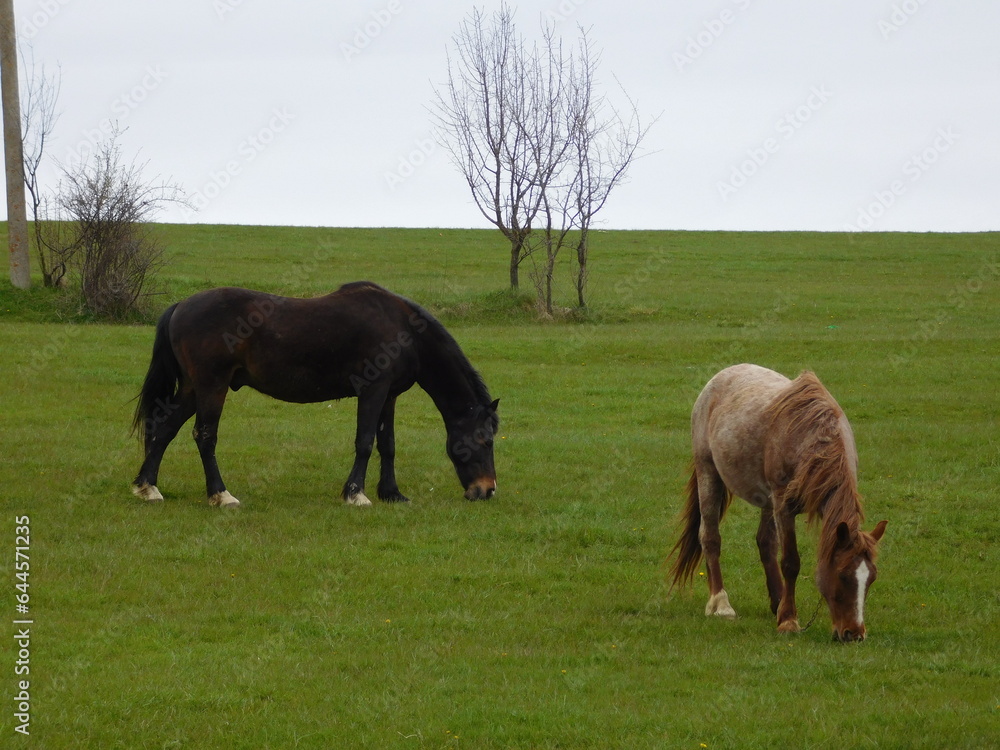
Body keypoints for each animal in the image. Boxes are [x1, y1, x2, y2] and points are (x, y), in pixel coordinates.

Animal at [131, 282, 500, 508]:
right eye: (485, 441)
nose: (487, 490)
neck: (404, 329)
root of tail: (181, 305)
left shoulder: (389, 396)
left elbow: (388, 445)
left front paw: (392, 493)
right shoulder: (373, 390)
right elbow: (365, 442)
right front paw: (356, 494)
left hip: (193, 388)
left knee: (164, 430)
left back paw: (147, 487)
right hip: (212, 386)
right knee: (205, 437)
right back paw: (221, 495)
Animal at [667, 364, 887, 642]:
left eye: (871, 579)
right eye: (843, 575)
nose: (854, 634)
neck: (812, 443)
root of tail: (720, 377)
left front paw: (783, 610)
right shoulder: (784, 507)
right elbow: (791, 562)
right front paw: (789, 620)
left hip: (765, 501)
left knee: (765, 543)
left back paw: (776, 600)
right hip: (709, 475)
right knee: (710, 537)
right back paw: (720, 603)